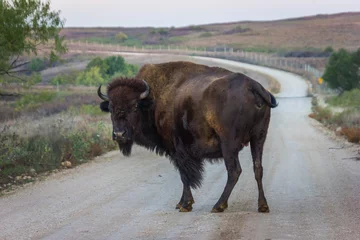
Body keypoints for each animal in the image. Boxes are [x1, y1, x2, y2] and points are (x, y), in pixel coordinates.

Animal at [97, 61, 278, 213]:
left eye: (134, 106)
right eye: (111, 108)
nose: (119, 134)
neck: (153, 99)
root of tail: (252, 86)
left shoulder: (178, 150)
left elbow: (185, 176)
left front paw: (185, 205)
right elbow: (184, 176)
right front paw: (181, 203)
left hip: (229, 144)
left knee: (234, 171)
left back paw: (218, 206)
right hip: (258, 138)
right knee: (258, 168)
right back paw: (263, 206)